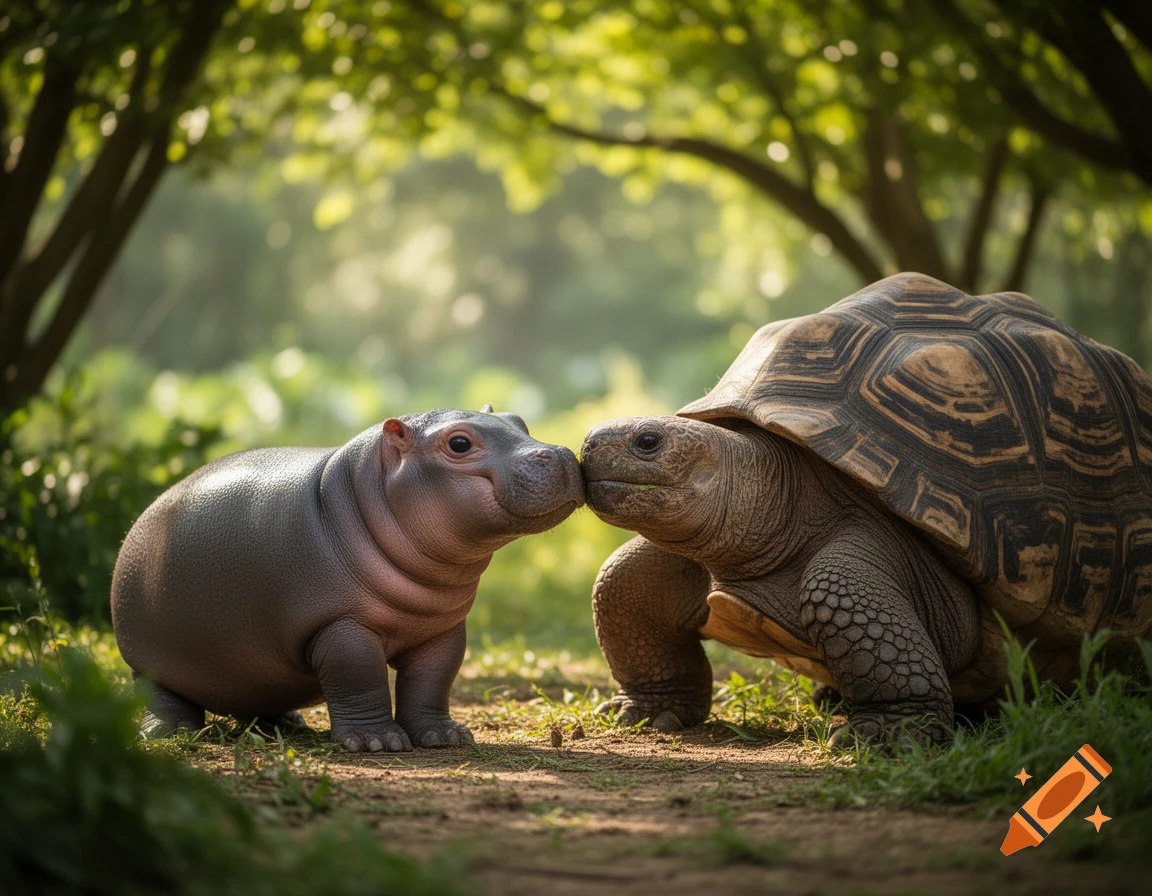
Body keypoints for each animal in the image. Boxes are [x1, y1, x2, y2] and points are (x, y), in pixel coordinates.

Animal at [111, 406, 584, 752]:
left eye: (519, 421)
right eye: (460, 443)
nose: (562, 453)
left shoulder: (443, 628)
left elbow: (433, 680)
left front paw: (446, 737)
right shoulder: (340, 625)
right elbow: (359, 676)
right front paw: (377, 743)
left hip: (253, 668)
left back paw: (290, 723)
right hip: (148, 657)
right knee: (160, 695)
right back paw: (171, 733)